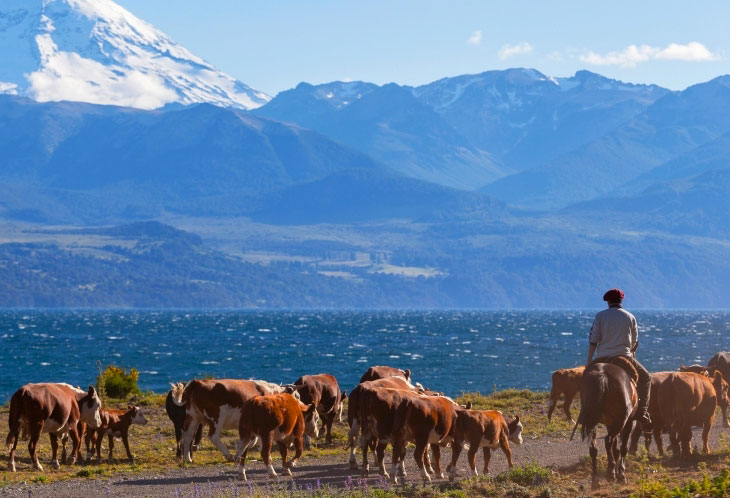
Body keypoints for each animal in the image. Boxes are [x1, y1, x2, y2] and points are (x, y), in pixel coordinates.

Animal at [568, 358, 636, 490]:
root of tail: (602, 375)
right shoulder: (629, 422)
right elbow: (623, 448)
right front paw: (621, 475)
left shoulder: (610, 424)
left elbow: (616, 449)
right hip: (620, 422)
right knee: (607, 440)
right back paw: (610, 472)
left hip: (593, 421)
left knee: (594, 449)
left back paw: (596, 480)